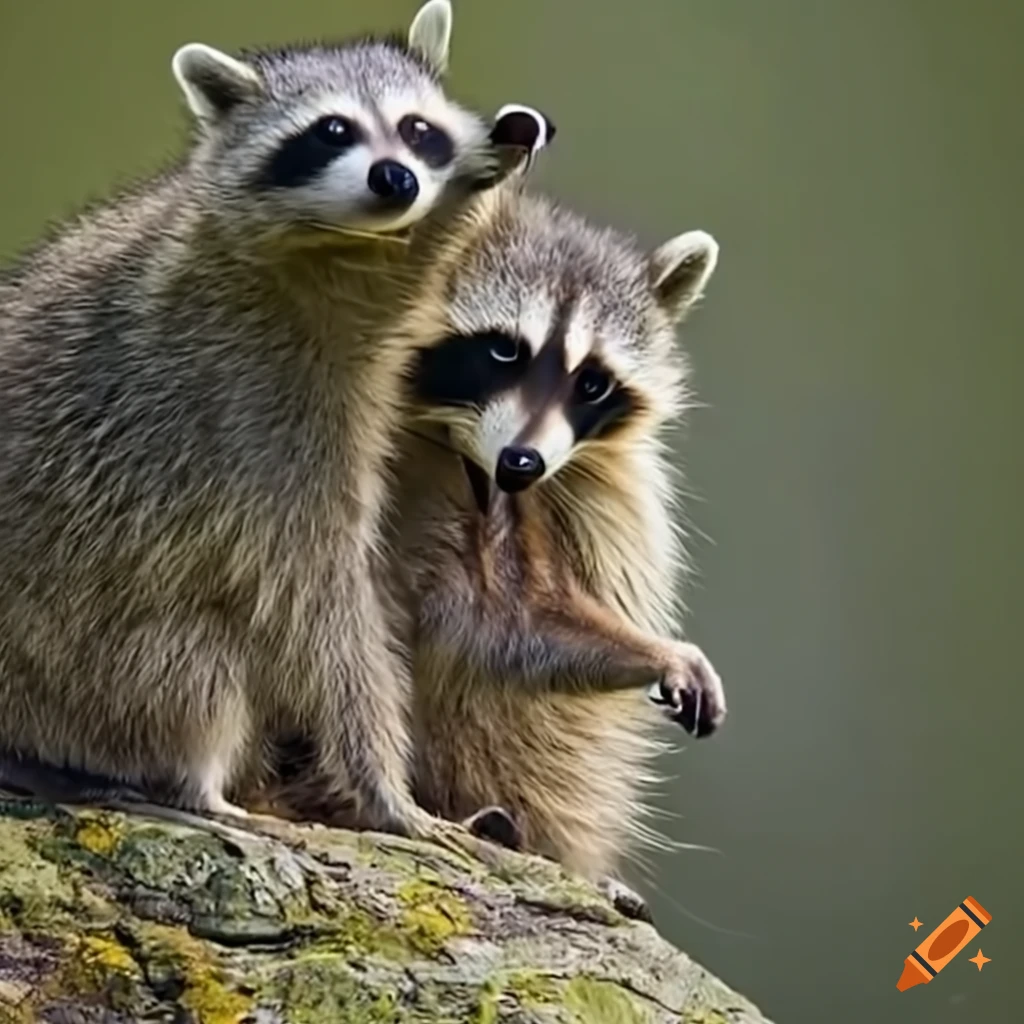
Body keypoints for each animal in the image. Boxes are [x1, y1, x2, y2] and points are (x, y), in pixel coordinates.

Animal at [0, 0, 543, 837]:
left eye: (416, 129)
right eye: (331, 131)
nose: (398, 179)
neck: (330, 247)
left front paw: (480, 176)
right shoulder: (252, 401)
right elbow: (315, 602)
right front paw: (382, 786)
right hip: (75, 669)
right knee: (193, 666)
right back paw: (195, 785)